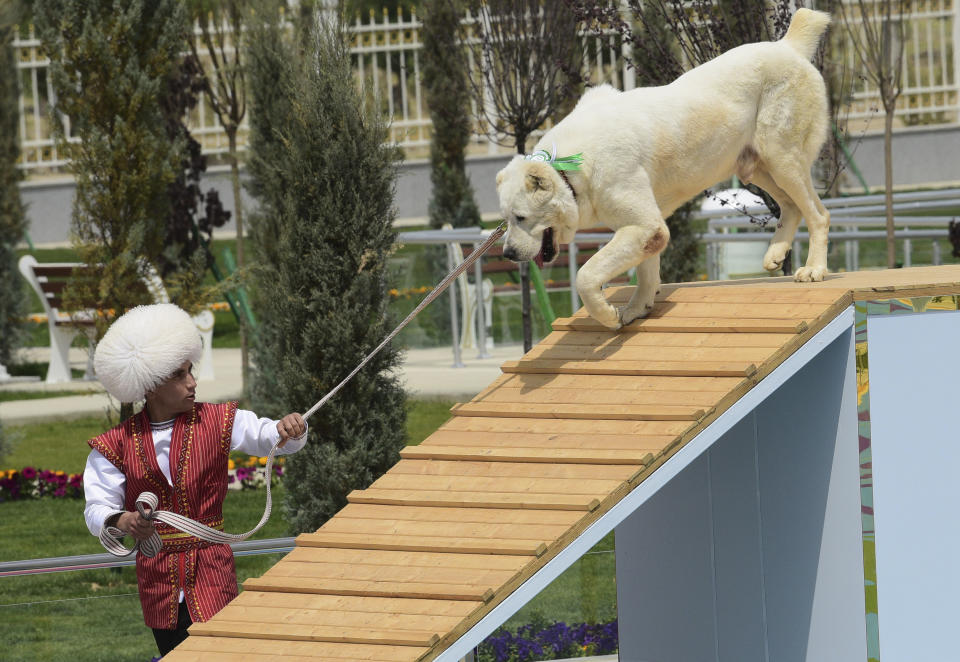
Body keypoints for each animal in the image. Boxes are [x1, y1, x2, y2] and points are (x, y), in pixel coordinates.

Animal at [496, 9, 832, 330]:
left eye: (521, 218)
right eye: (506, 219)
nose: (507, 255)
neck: (570, 168)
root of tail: (787, 46)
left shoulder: (643, 224)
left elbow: (586, 275)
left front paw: (606, 315)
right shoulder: (645, 227)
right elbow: (646, 268)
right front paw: (637, 308)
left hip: (781, 156)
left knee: (818, 214)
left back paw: (813, 269)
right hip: (758, 165)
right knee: (791, 205)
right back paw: (776, 253)